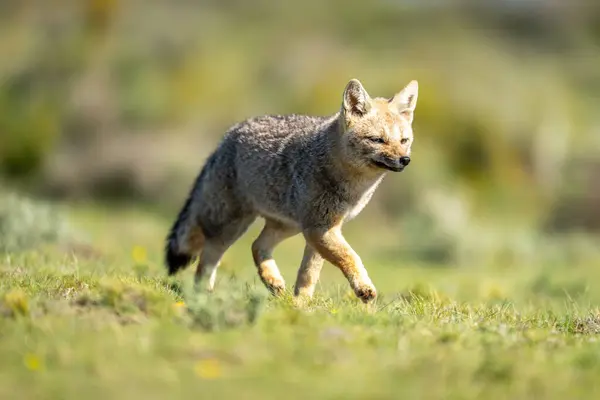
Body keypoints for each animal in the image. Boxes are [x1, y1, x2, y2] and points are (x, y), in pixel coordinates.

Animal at [164, 79, 418, 304]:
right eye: (378, 140)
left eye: (404, 140)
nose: (405, 160)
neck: (352, 186)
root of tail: (229, 134)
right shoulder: (320, 229)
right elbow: (349, 256)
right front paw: (363, 288)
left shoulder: (322, 230)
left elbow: (308, 274)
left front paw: (301, 305)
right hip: (232, 226)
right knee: (207, 258)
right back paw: (204, 296)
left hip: (288, 225)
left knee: (257, 245)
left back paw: (272, 281)